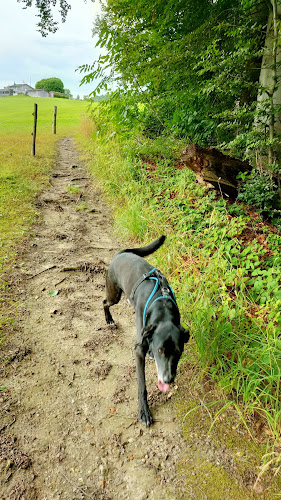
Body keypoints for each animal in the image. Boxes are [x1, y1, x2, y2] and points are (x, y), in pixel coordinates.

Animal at [103, 234, 188, 426]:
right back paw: (108, 319)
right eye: (160, 350)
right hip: (114, 295)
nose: (168, 379)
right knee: (105, 302)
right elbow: (142, 386)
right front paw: (144, 412)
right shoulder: (138, 350)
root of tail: (120, 254)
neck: (162, 308)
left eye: (178, 352)